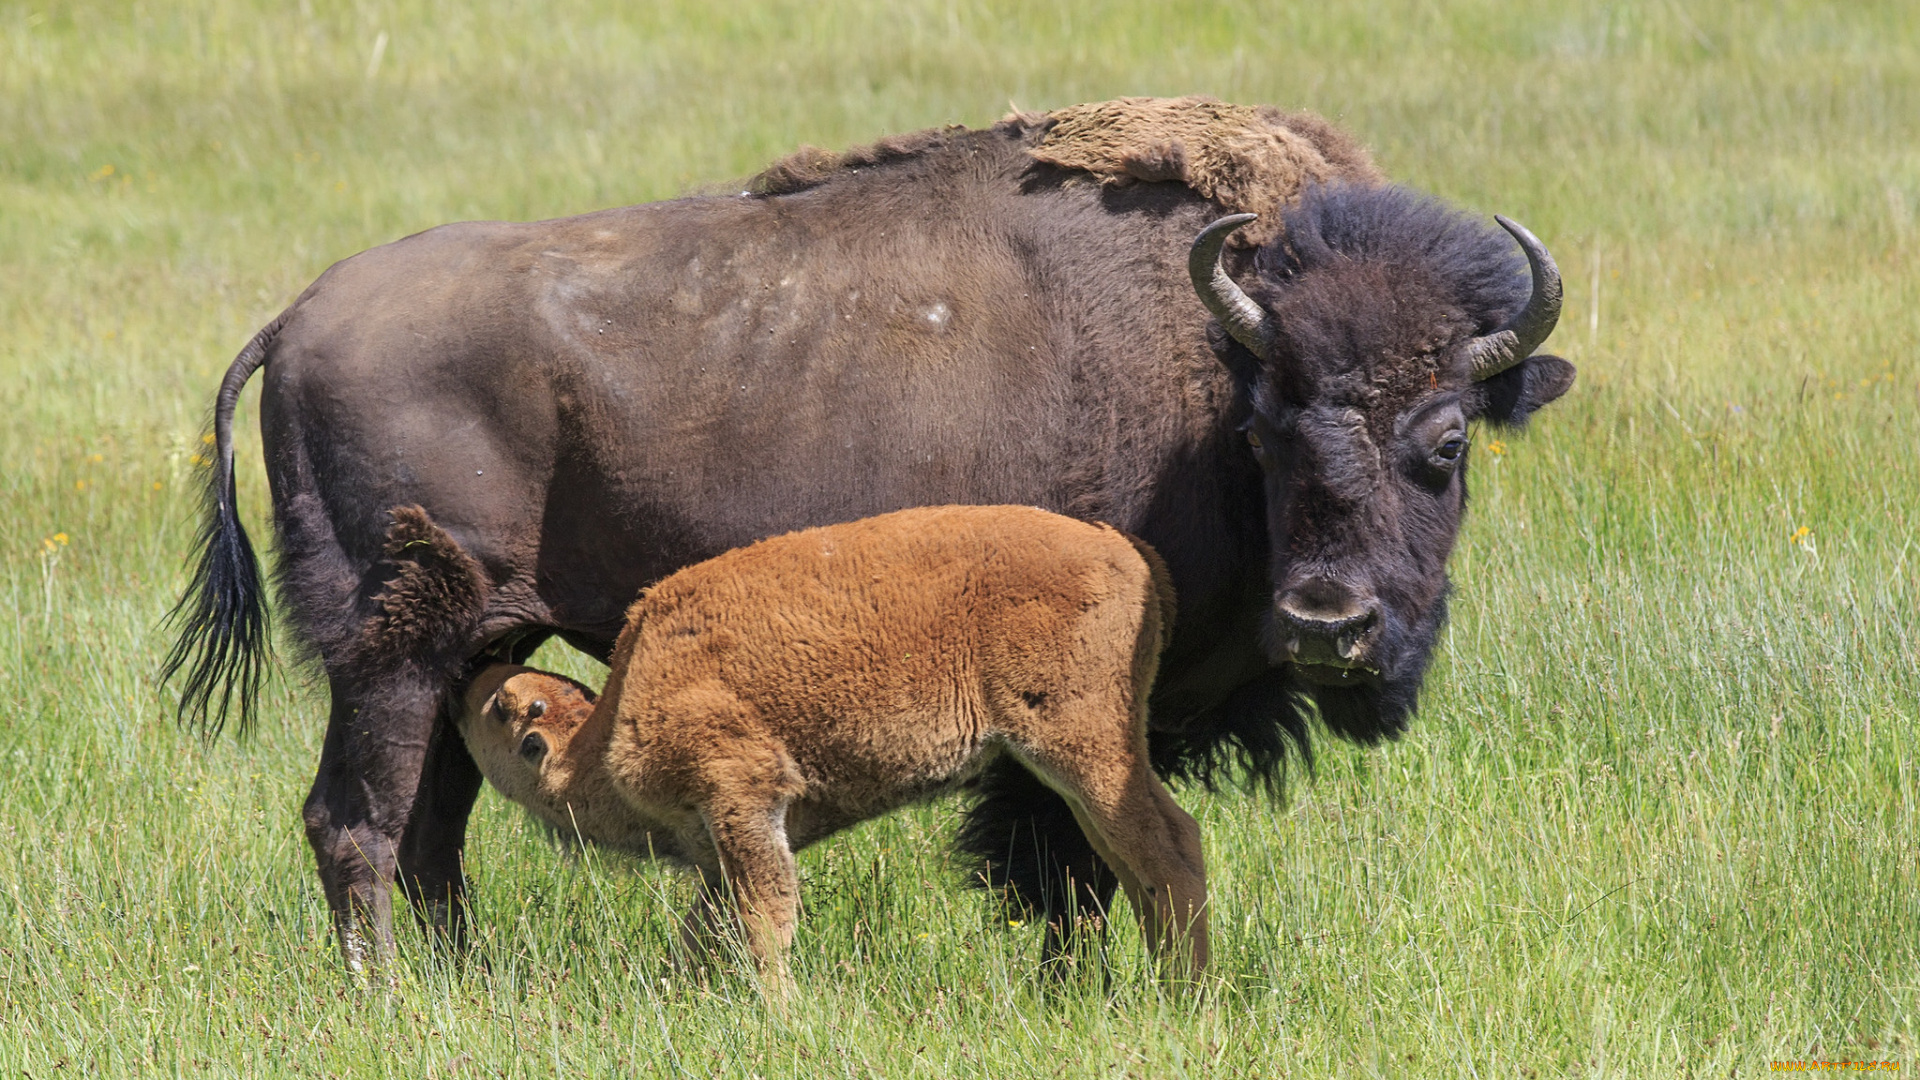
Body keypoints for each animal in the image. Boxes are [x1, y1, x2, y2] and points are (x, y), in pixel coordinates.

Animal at [432, 499, 1198, 991]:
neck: (616, 714)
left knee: (1166, 849)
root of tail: (1127, 552)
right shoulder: (717, 847)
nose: (466, 682)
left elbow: (764, 920)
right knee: (1137, 859)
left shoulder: (742, 797)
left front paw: (778, 1013)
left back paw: (1185, 994)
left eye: (503, 712)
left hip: (1081, 746)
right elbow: (705, 928)